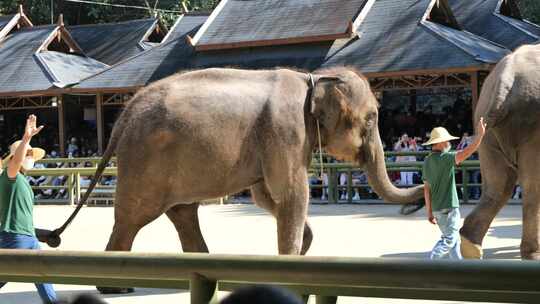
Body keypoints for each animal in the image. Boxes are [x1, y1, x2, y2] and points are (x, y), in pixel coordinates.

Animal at [460, 44, 540, 260]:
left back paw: (470, 248)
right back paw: (533, 255)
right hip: (531, 129)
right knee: (531, 187)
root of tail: (506, 78)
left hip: (485, 130)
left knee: (497, 186)